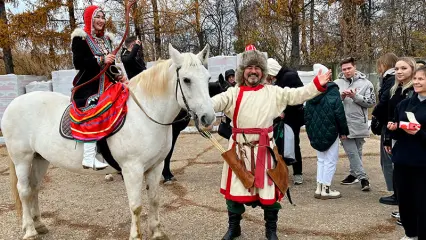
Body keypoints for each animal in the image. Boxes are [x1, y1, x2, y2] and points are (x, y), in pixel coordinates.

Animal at [1, 43, 216, 240]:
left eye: (207, 78)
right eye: (186, 80)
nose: (208, 117)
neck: (144, 113)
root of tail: (14, 104)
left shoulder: (155, 167)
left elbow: (154, 199)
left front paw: (157, 233)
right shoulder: (132, 169)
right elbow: (136, 206)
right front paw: (136, 236)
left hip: (40, 158)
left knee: (35, 188)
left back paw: (39, 224)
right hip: (22, 159)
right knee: (24, 190)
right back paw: (30, 230)